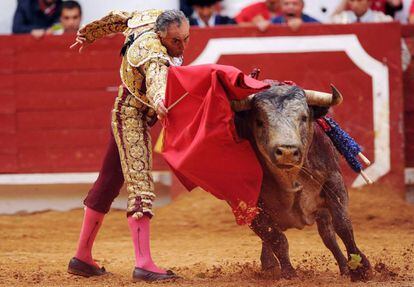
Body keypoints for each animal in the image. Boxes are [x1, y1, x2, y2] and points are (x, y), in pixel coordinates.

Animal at [233, 82, 372, 282]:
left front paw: (361, 268)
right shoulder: (246, 204)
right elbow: (275, 238)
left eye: (304, 117)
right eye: (259, 121)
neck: (289, 178)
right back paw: (270, 266)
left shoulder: (334, 181)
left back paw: (345, 268)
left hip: (322, 213)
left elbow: (343, 225)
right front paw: (289, 273)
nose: (287, 151)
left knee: (328, 236)